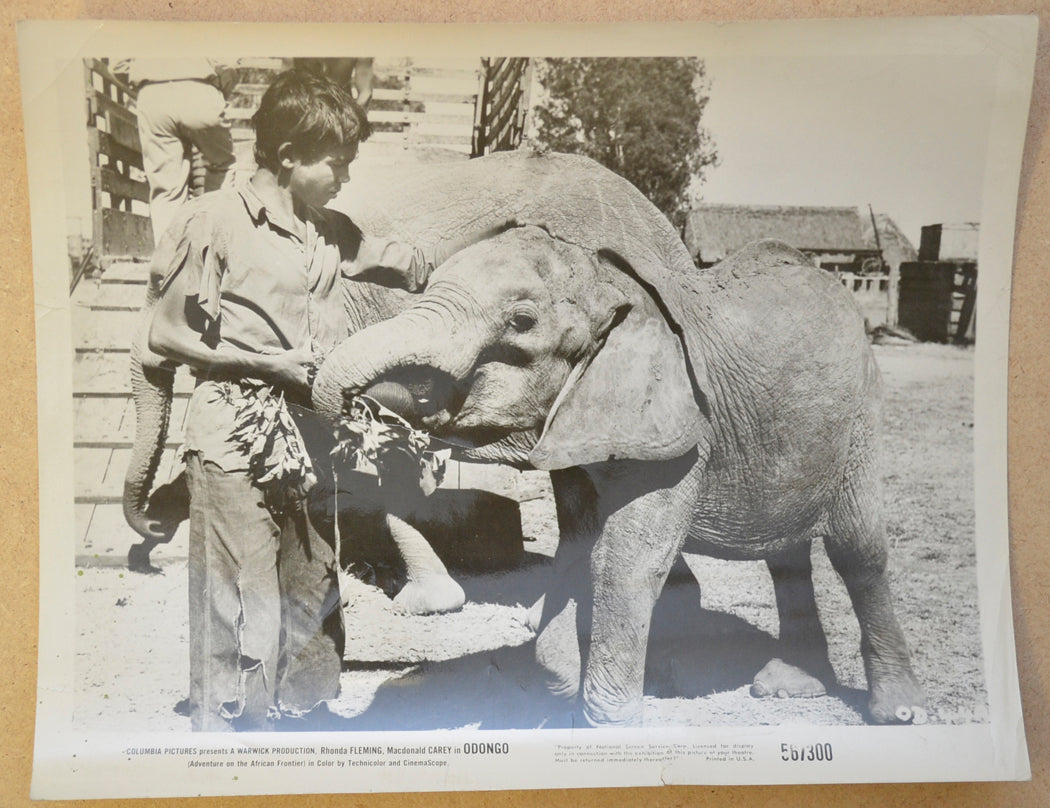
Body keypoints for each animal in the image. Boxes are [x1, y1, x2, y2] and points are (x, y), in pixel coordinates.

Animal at [312, 147, 928, 726]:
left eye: (522, 322)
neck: (615, 285)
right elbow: (579, 545)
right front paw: (557, 684)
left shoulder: (680, 434)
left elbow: (620, 560)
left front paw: (609, 719)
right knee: (788, 553)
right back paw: (789, 685)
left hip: (860, 420)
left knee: (858, 551)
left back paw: (895, 710)